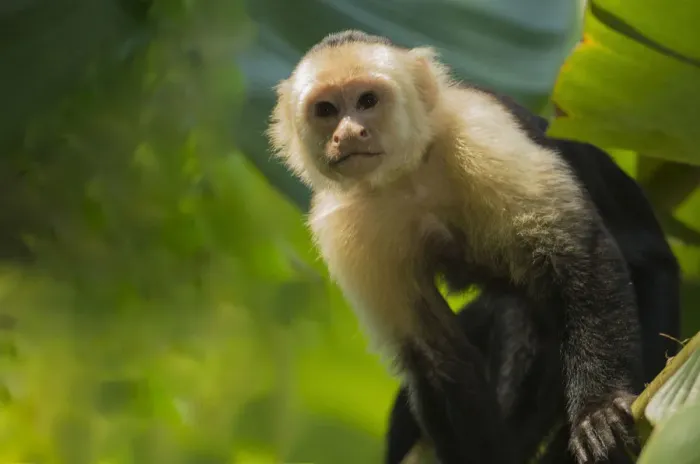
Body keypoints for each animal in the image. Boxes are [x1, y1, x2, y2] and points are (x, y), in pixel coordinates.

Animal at [267, 29, 646, 464]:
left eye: (367, 101)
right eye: (326, 110)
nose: (347, 134)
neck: (410, 175)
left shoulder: (479, 131)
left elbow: (579, 253)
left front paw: (598, 409)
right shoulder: (341, 223)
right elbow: (434, 354)